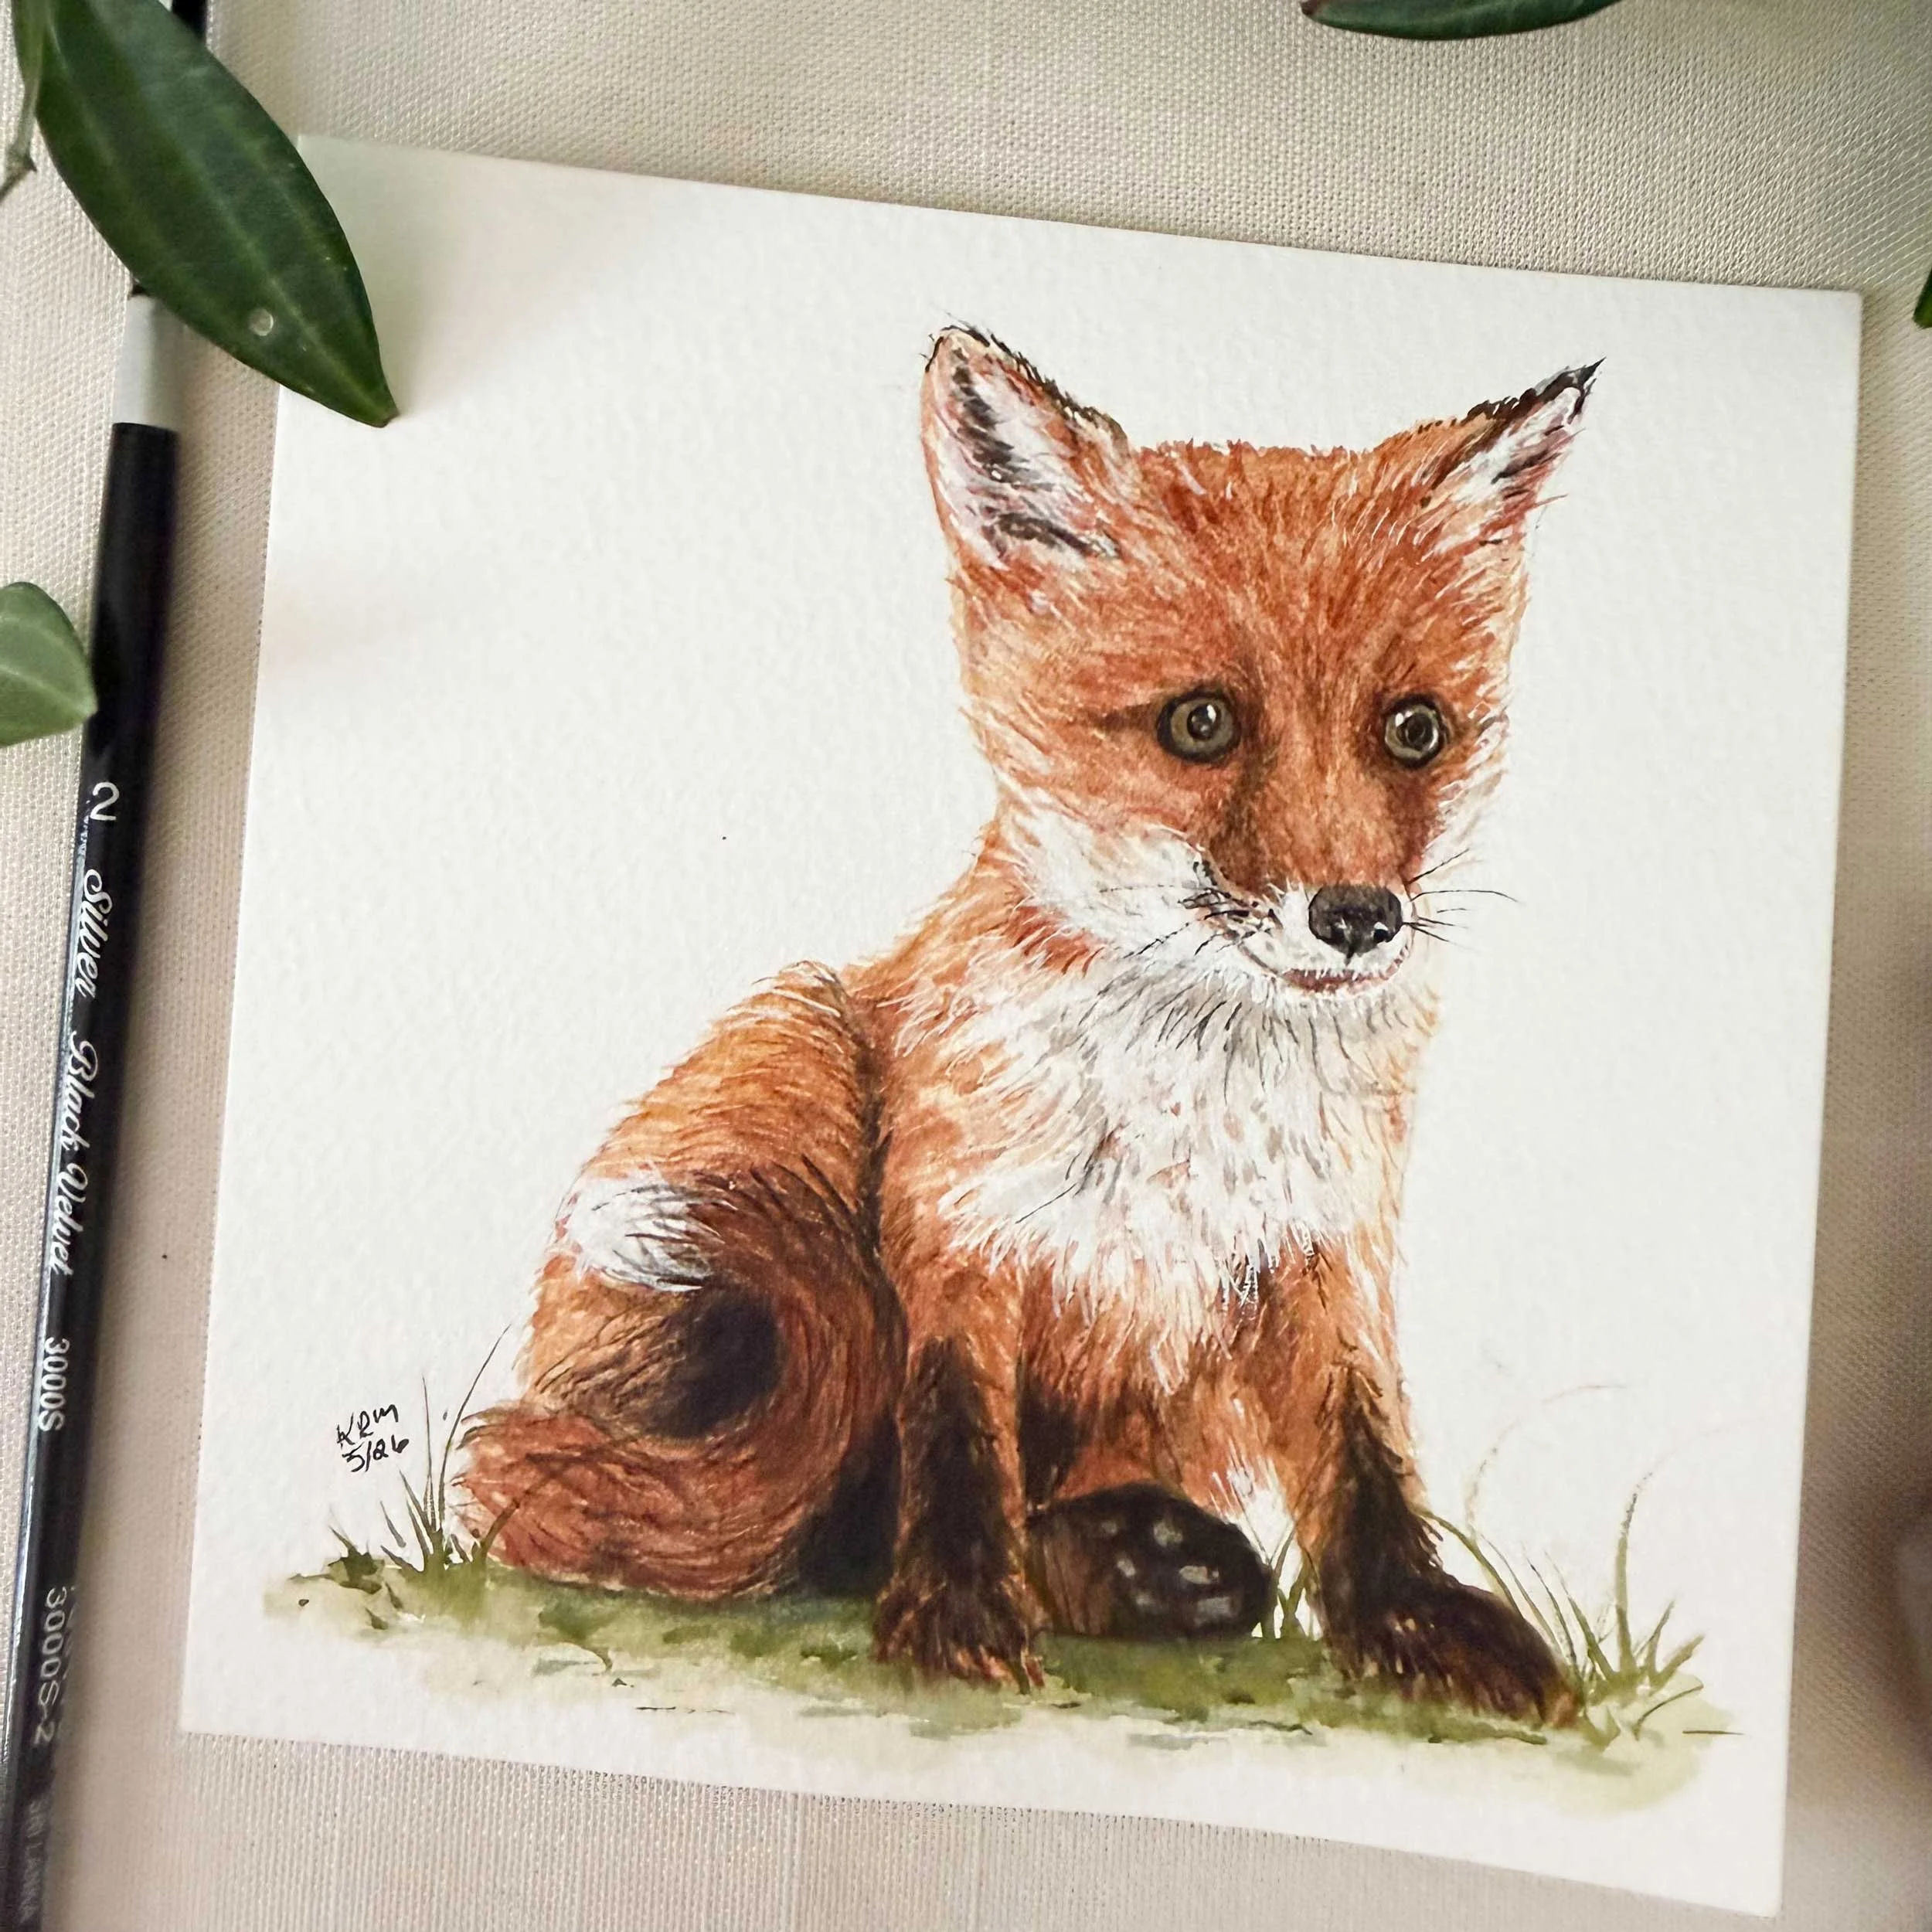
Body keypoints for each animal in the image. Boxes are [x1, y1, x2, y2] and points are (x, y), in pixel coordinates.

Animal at [461, 327, 1594, 1718]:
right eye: (1200, 724)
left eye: (1415, 731)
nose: (1358, 918)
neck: (1190, 1108)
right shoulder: (960, 1228)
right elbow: (955, 1448)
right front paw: (955, 1617)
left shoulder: (1325, 1256)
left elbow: (1364, 1463)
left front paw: (1411, 1622)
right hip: (792, 1054)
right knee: (737, 1517)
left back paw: (1142, 1564)